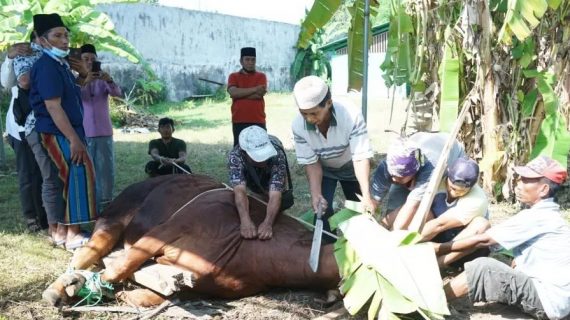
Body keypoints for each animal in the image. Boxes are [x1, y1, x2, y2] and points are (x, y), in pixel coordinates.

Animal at [43, 175, 342, 308]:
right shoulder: (165, 231)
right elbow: (118, 269)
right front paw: (74, 286)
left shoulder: (192, 285)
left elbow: (140, 294)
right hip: (113, 220)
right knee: (85, 254)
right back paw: (59, 287)